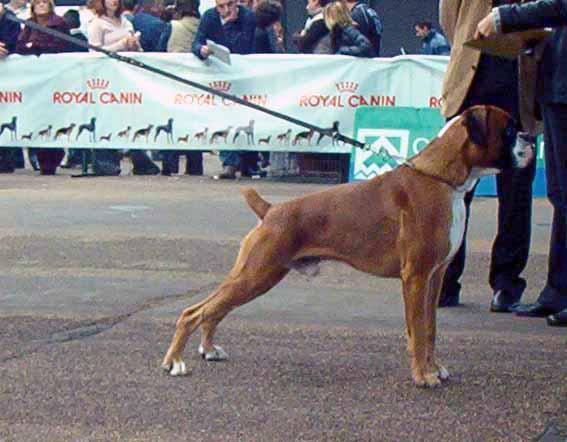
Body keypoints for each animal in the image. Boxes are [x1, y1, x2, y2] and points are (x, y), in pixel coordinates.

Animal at [162, 106, 536, 386]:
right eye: (508, 129)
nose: (532, 137)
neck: (441, 178)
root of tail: (271, 210)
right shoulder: (416, 277)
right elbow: (417, 330)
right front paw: (422, 376)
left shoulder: (435, 276)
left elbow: (430, 328)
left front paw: (434, 368)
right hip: (256, 274)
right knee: (193, 312)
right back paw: (175, 362)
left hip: (257, 276)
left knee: (213, 311)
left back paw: (209, 350)